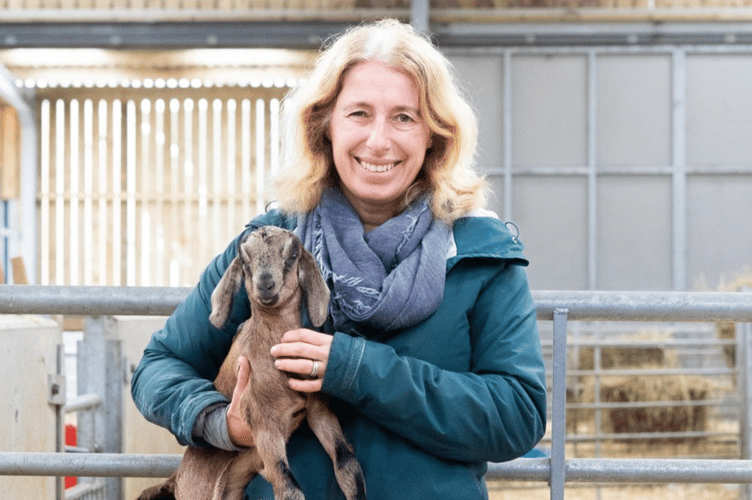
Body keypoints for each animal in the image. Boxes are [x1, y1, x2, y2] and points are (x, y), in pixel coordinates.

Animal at [137, 226, 367, 500]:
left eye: (292, 256)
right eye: (245, 262)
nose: (265, 285)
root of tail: (176, 478)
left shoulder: (319, 410)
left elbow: (347, 463)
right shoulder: (263, 424)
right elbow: (289, 489)